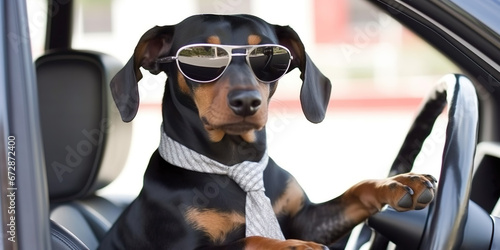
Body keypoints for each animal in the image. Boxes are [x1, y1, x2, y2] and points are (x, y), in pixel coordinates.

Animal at [99, 14, 436, 249]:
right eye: (199, 55)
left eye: (270, 54)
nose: (247, 101)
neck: (234, 162)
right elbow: (249, 239)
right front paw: (295, 246)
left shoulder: (309, 220)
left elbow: (356, 190)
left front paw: (399, 182)